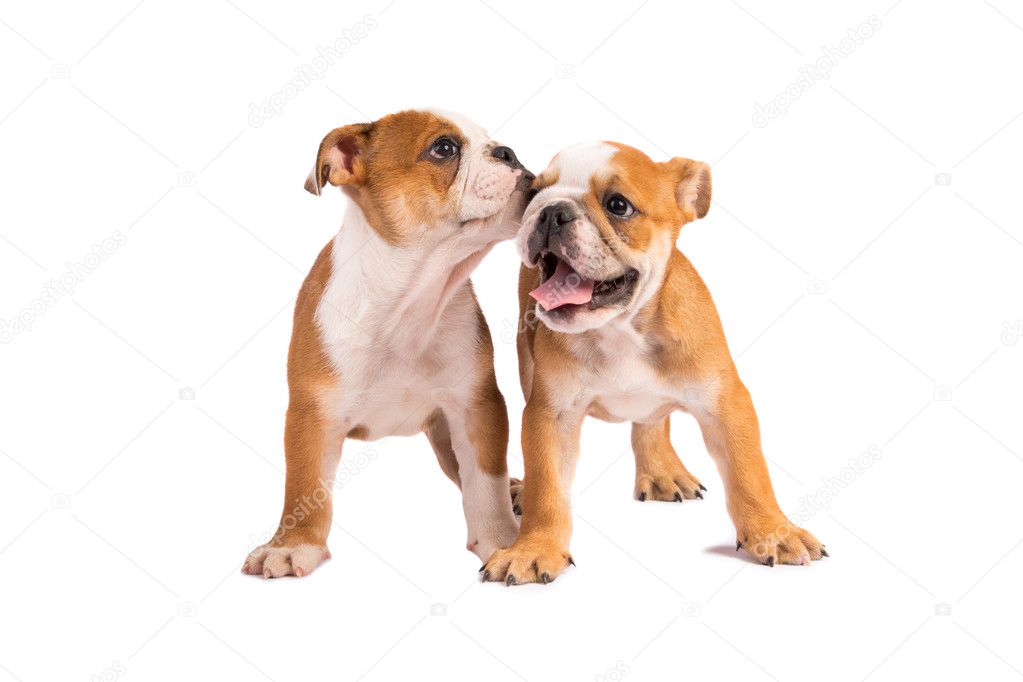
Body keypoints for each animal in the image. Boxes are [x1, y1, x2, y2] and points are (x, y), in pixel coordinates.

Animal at [245, 109, 536, 580]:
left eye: (494, 142)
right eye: (443, 148)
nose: (509, 152)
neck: (408, 303)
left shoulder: (476, 405)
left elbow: (485, 480)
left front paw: (503, 539)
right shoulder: (312, 413)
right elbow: (304, 484)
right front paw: (292, 546)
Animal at [482, 140, 826, 588]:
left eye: (618, 205)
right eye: (535, 191)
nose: (552, 210)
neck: (621, 328)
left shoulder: (727, 403)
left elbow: (749, 471)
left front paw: (773, 532)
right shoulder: (550, 414)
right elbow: (547, 486)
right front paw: (533, 548)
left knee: (651, 420)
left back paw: (663, 471)